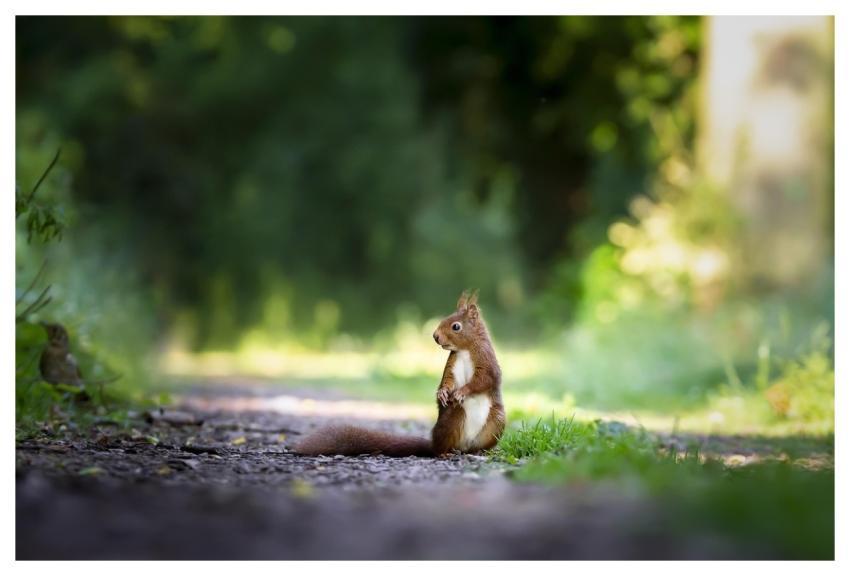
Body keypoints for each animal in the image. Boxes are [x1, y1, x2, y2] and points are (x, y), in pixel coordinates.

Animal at [294, 290, 505, 457]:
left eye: (456, 326)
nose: (435, 336)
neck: (465, 350)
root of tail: (463, 446)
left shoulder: (487, 362)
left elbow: (483, 380)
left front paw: (462, 391)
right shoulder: (452, 364)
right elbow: (448, 380)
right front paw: (442, 393)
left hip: (496, 422)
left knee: (476, 445)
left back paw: (479, 451)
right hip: (453, 418)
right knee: (440, 447)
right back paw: (444, 453)